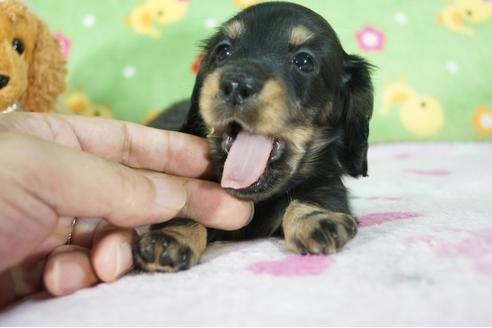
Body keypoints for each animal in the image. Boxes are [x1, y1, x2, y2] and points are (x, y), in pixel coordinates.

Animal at [134, 1, 372, 272]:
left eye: (304, 61)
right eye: (223, 51)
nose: (236, 85)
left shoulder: (326, 177)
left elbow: (319, 194)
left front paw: (316, 218)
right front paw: (170, 237)